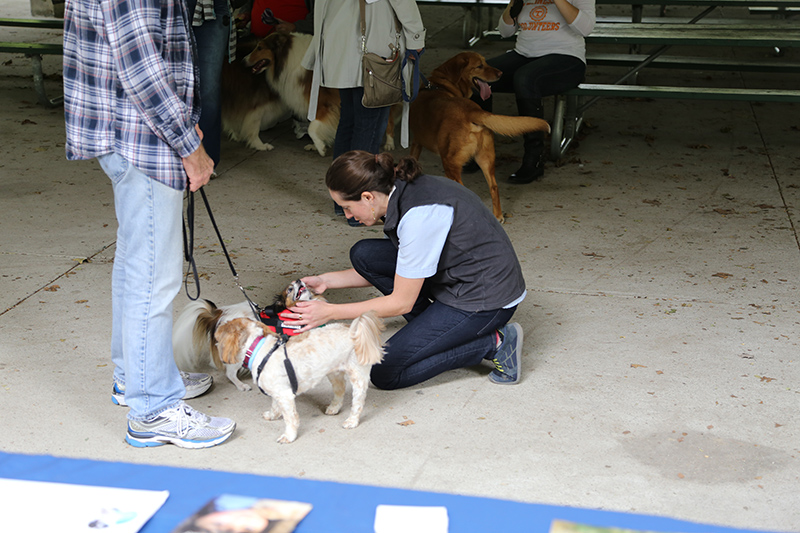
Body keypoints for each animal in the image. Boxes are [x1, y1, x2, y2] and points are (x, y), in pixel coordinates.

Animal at [216, 312, 384, 440]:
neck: (259, 349)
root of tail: (353, 330)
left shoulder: (285, 395)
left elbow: (290, 418)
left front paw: (289, 436)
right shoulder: (278, 391)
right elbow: (275, 405)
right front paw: (272, 415)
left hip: (357, 376)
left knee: (358, 402)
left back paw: (352, 420)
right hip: (334, 373)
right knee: (340, 391)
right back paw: (334, 407)